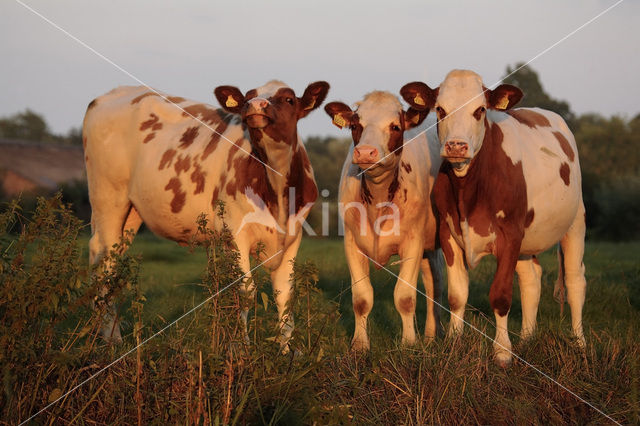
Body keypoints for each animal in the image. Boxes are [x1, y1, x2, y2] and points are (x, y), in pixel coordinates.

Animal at [81, 78, 330, 348]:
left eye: (289, 99)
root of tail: (111, 94)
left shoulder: (293, 237)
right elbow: (244, 291)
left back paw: (101, 332)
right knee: (106, 264)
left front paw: (288, 351)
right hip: (107, 198)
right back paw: (111, 338)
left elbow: (285, 295)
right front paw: (241, 349)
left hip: (131, 211)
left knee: (107, 260)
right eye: (247, 97)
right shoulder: (234, 233)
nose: (254, 105)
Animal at [324, 90, 444, 350]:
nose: (366, 152)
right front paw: (359, 345)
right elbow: (361, 298)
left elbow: (405, 297)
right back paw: (431, 336)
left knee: (437, 286)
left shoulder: (413, 243)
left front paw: (409, 343)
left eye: (395, 126)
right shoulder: (351, 243)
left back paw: (434, 334)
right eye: (355, 125)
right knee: (432, 281)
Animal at [402, 70, 588, 366]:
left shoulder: (510, 234)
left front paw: (502, 352)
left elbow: (500, 295)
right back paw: (527, 339)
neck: (469, 190)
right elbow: (457, 296)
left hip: (575, 222)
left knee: (574, 280)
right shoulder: (449, 233)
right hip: (526, 241)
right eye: (440, 109)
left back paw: (579, 344)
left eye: (480, 110)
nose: (456, 146)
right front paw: (454, 343)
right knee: (531, 281)